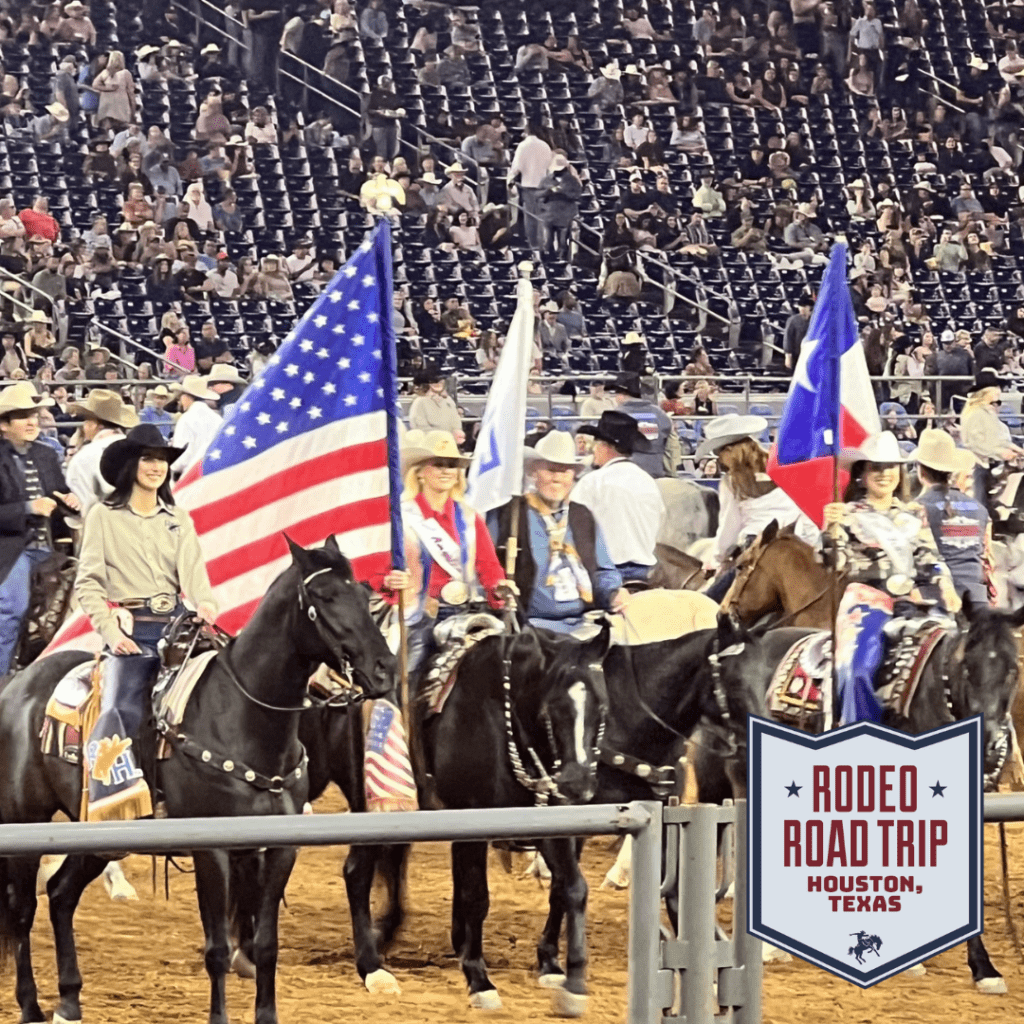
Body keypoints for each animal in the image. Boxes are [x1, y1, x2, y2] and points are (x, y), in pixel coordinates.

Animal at [0, 535, 396, 1024]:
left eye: (363, 593)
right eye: (323, 597)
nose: (384, 669)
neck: (241, 717)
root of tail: (18, 686)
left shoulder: (279, 850)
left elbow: (266, 945)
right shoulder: (213, 851)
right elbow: (217, 948)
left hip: (99, 831)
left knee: (60, 895)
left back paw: (69, 1002)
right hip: (25, 820)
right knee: (23, 909)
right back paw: (31, 1005)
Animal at [419, 623, 612, 1015]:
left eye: (601, 705)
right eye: (551, 708)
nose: (576, 783)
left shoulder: (555, 825)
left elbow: (571, 889)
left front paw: (568, 980)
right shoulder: (472, 822)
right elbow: (478, 897)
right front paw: (479, 979)